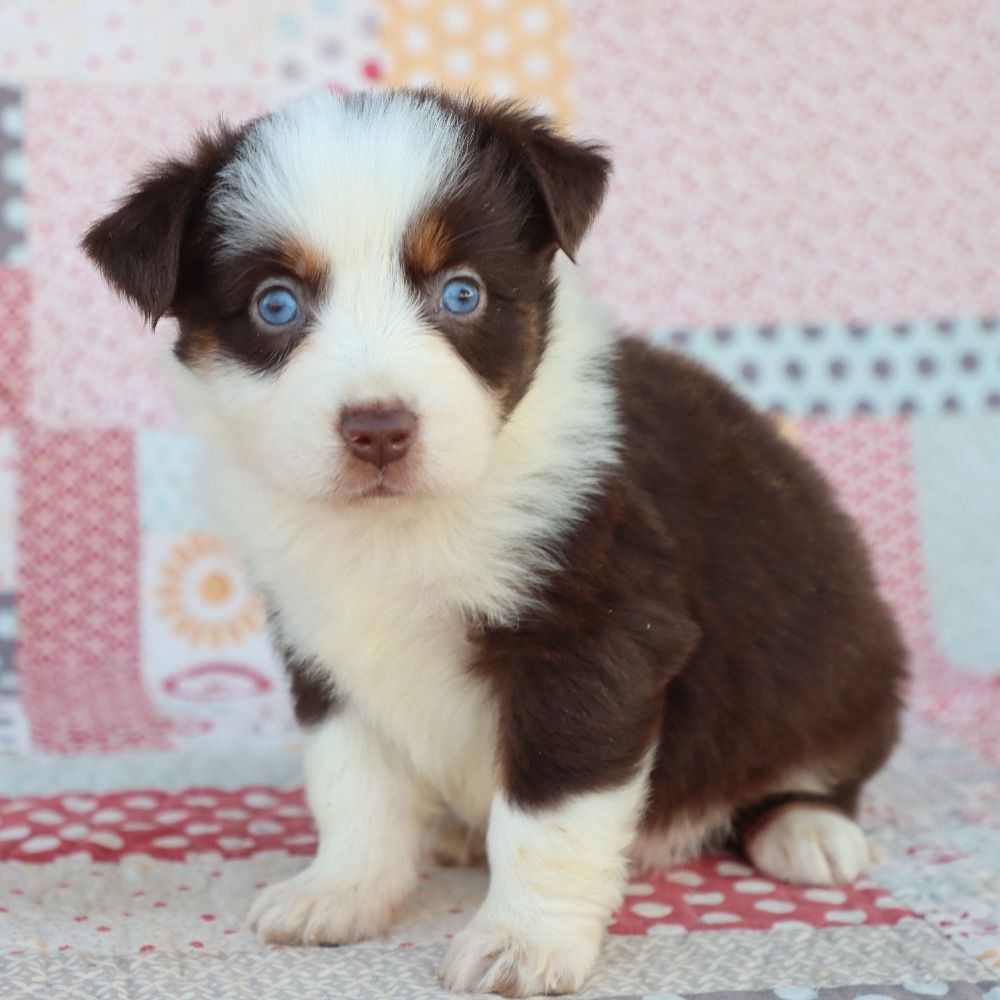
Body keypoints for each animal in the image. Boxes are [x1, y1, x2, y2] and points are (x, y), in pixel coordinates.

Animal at [86, 90, 908, 996]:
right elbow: (351, 782)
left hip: (839, 658)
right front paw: (342, 892)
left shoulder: (596, 636)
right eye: (276, 304)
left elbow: (548, 813)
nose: (379, 430)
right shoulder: (323, 644)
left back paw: (807, 831)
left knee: (816, 764)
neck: (400, 523)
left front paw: (524, 941)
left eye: (462, 293)